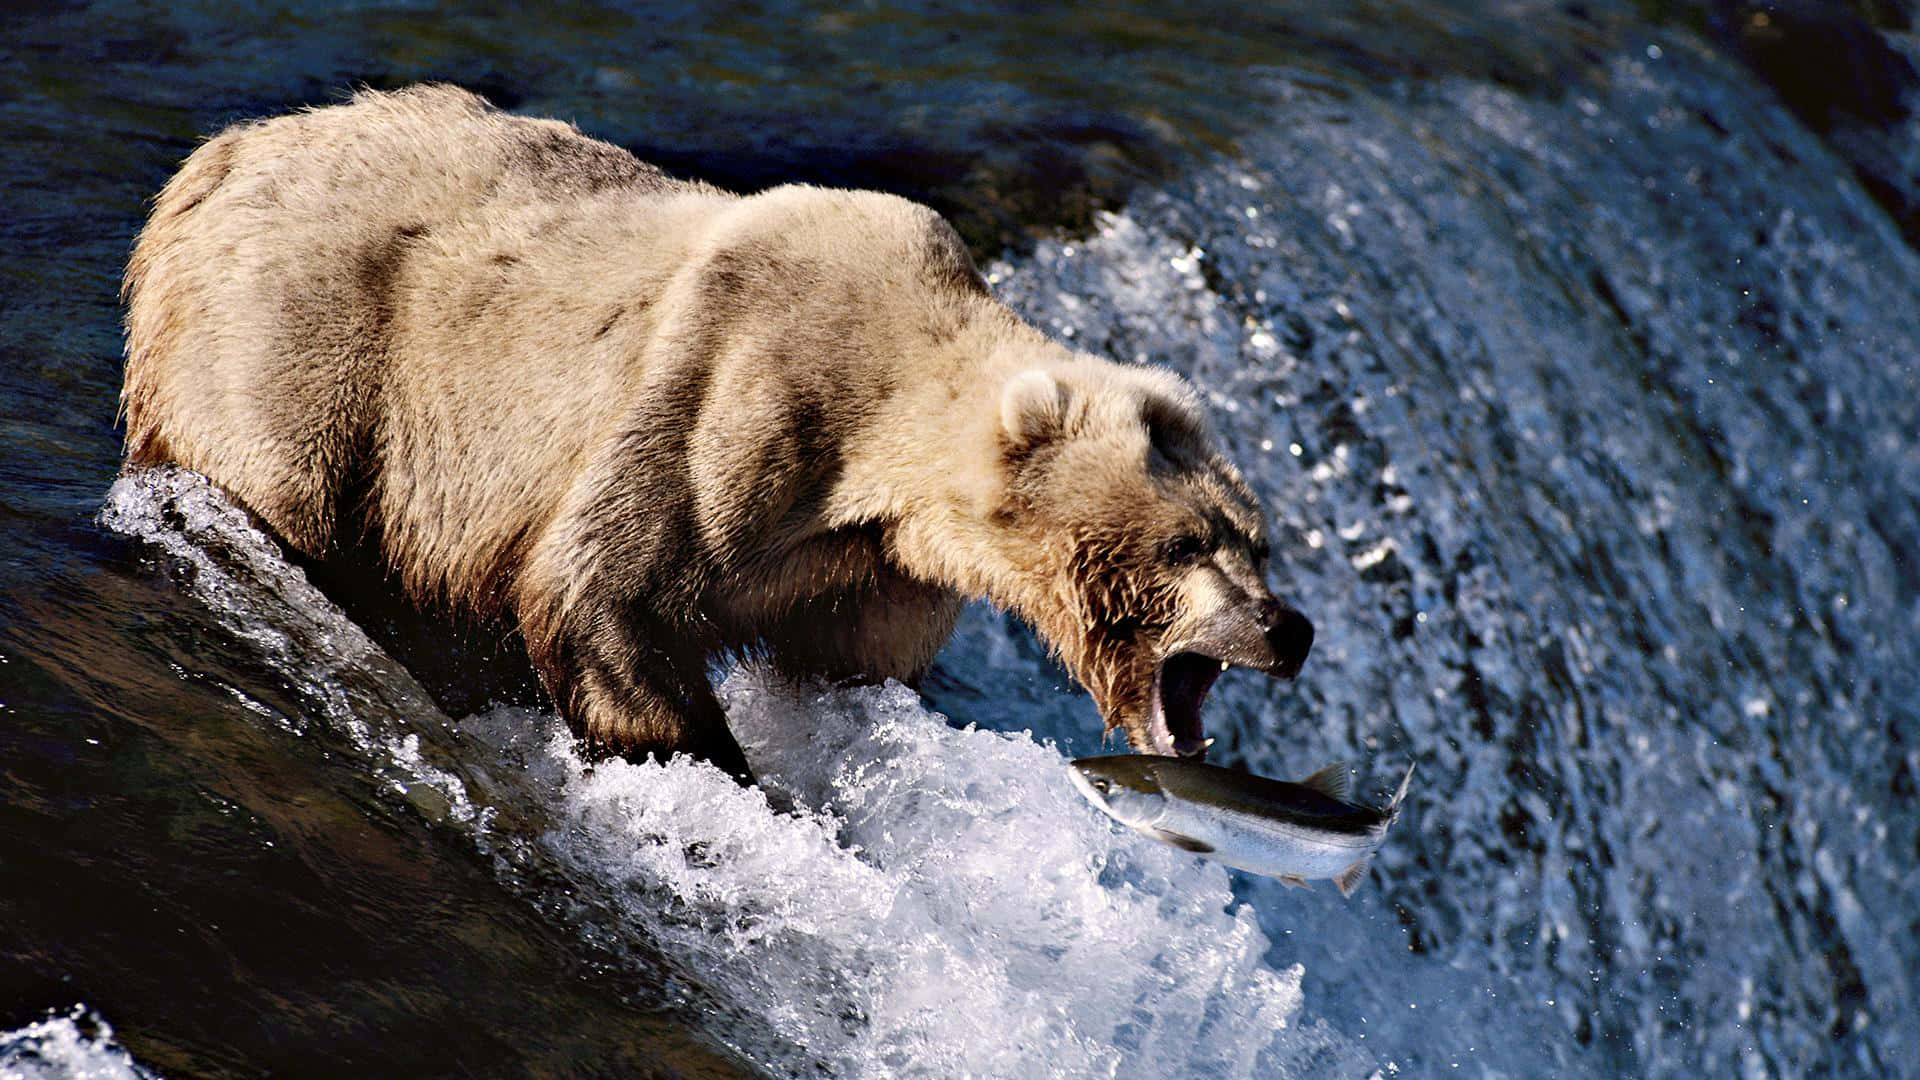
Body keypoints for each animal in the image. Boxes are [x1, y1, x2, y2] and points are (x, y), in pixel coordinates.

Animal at [121, 85, 1313, 783]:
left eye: (1257, 539)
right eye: (1188, 543)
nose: (1286, 628)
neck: (883, 462)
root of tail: (219, 153)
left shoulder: (870, 572)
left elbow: (846, 671)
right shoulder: (741, 400)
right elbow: (601, 588)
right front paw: (725, 768)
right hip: (306, 336)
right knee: (288, 490)